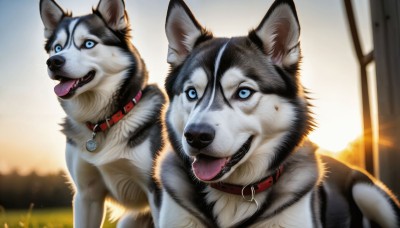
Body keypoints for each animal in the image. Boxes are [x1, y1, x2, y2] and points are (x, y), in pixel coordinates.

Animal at [39, 0, 165, 226]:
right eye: (57, 48)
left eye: (88, 44)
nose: (54, 61)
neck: (104, 121)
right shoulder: (86, 195)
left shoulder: (158, 192)